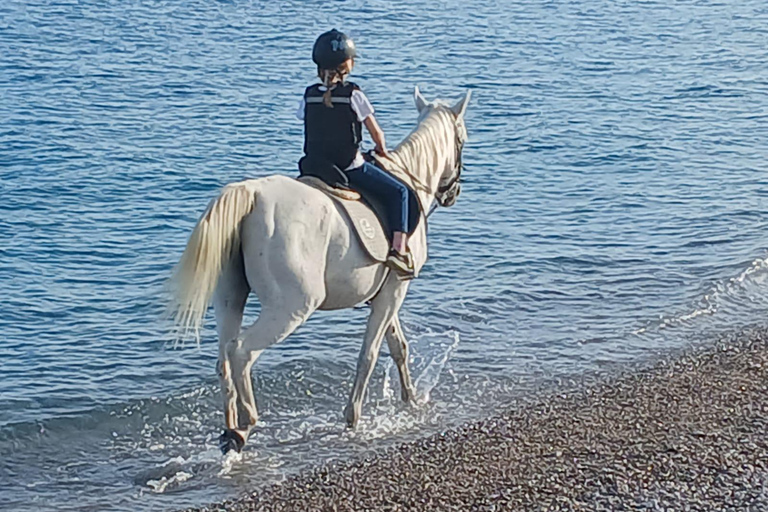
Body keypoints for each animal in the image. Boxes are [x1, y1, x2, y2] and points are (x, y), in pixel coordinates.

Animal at [168, 87, 471, 454]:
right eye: (462, 139)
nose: (452, 193)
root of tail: (252, 195)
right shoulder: (396, 289)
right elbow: (369, 354)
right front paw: (353, 418)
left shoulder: (385, 292)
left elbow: (398, 347)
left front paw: (410, 400)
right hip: (292, 307)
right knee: (242, 351)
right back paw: (246, 424)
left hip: (230, 299)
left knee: (224, 357)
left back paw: (229, 431)